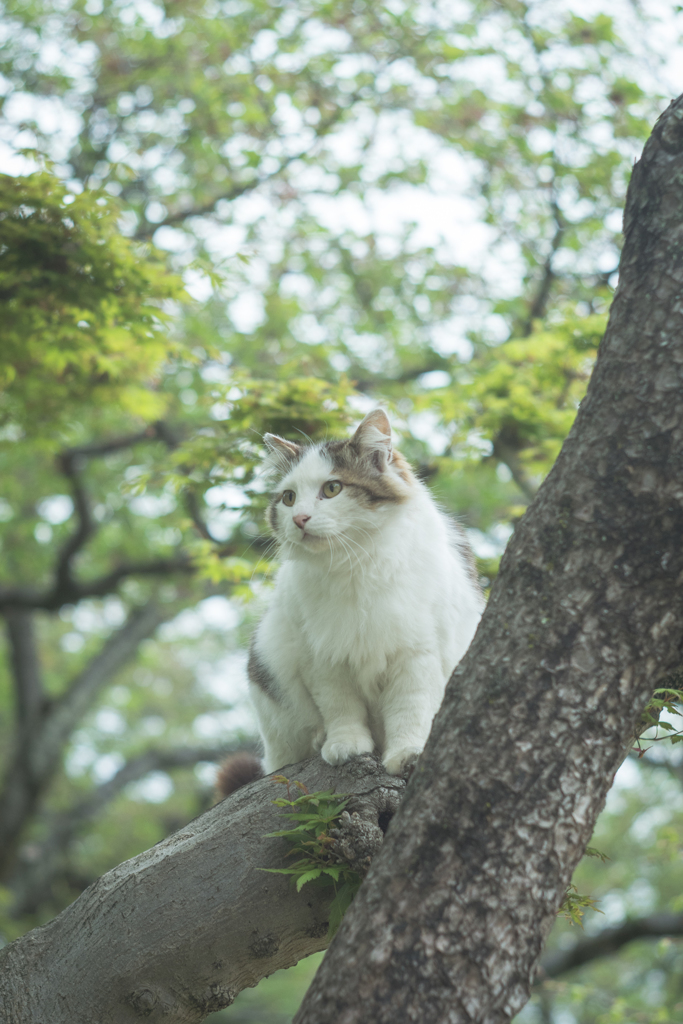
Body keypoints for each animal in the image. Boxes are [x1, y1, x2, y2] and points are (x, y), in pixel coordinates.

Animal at [216, 411, 483, 794]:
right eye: (288, 498)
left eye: (332, 489)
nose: (299, 519)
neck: (353, 563)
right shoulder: (322, 658)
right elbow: (341, 709)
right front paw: (346, 746)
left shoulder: (417, 654)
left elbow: (410, 709)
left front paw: (407, 752)